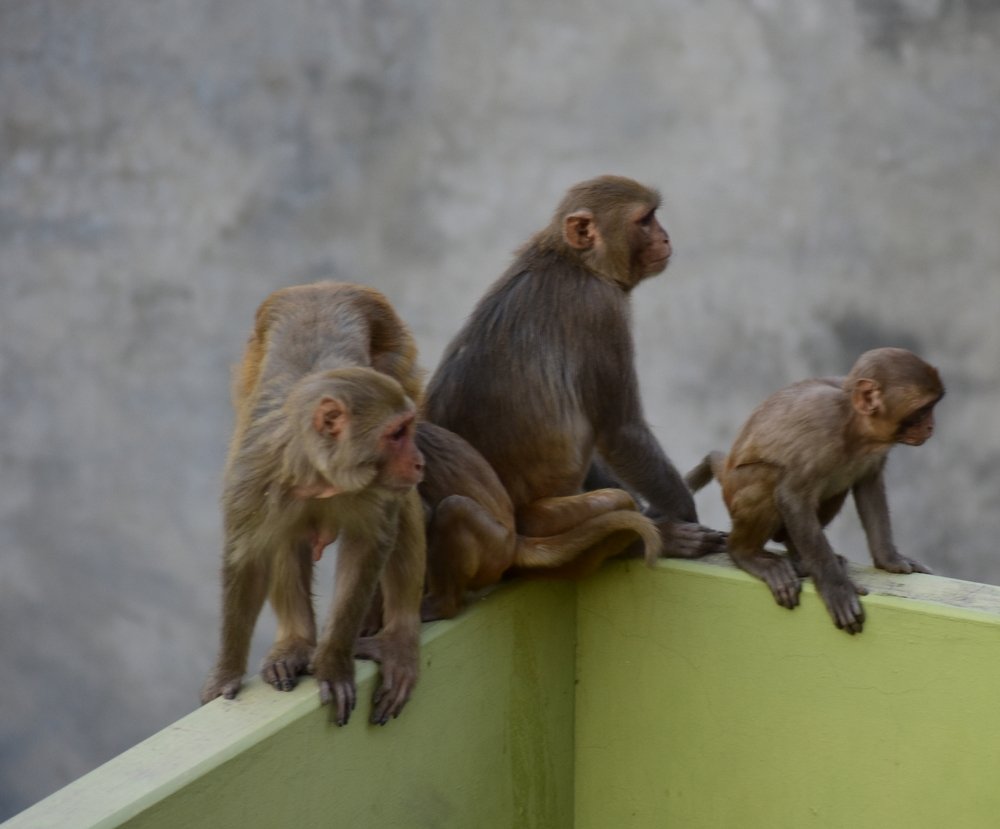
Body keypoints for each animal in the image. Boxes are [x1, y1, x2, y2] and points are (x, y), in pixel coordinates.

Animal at [200, 282, 426, 726]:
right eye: (395, 435)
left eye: (407, 430)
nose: (418, 460)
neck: (318, 475)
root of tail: (319, 286)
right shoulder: (253, 477)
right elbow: (249, 560)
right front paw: (226, 674)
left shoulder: (376, 487)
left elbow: (367, 549)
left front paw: (334, 666)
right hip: (250, 369)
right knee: (283, 533)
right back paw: (297, 643)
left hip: (398, 353)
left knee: (405, 504)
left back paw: (398, 638)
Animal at [422, 174, 725, 576]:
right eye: (645, 220)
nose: (665, 237)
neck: (577, 262)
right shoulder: (602, 310)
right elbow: (621, 432)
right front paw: (683, 516)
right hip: (545, 523)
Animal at [686, 347, 944, 634]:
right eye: (922, 411)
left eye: (931, 408)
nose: (931, 426)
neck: (854, 426)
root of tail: (728, 473)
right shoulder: (822, 426)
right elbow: (792, 496)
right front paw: (835, 587)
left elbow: (868, 483)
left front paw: (889, 559)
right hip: (736, 491)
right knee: (771, 477)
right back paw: (746, 553)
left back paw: (797, 554)